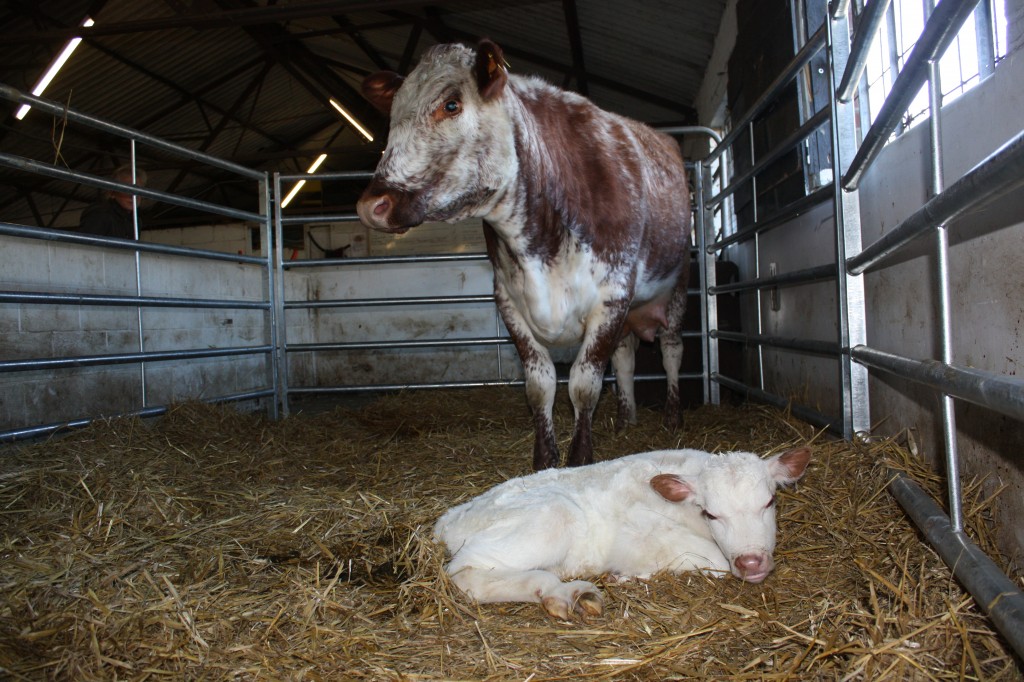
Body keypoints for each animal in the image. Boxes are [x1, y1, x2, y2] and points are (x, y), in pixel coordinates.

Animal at [356, 41, 692, 466]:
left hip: (676, 289)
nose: (372, 205)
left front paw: (579, 457)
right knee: (626, 357)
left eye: (451, 104)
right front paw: (544, 459)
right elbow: (539, 385)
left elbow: (584, 383)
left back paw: (673, 418)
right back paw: (625, 420)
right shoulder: (510, 301)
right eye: (394, 112)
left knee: (671, 351)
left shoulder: (611, 296)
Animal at [436, 444, 811, 618]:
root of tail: (450, 517)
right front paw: (627, 576)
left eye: (769, 502)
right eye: (710, 513)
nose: (751, 562)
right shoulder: (643, 535)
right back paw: (563, 591)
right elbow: (715, 563)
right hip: (551, 518)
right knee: (465, 573)